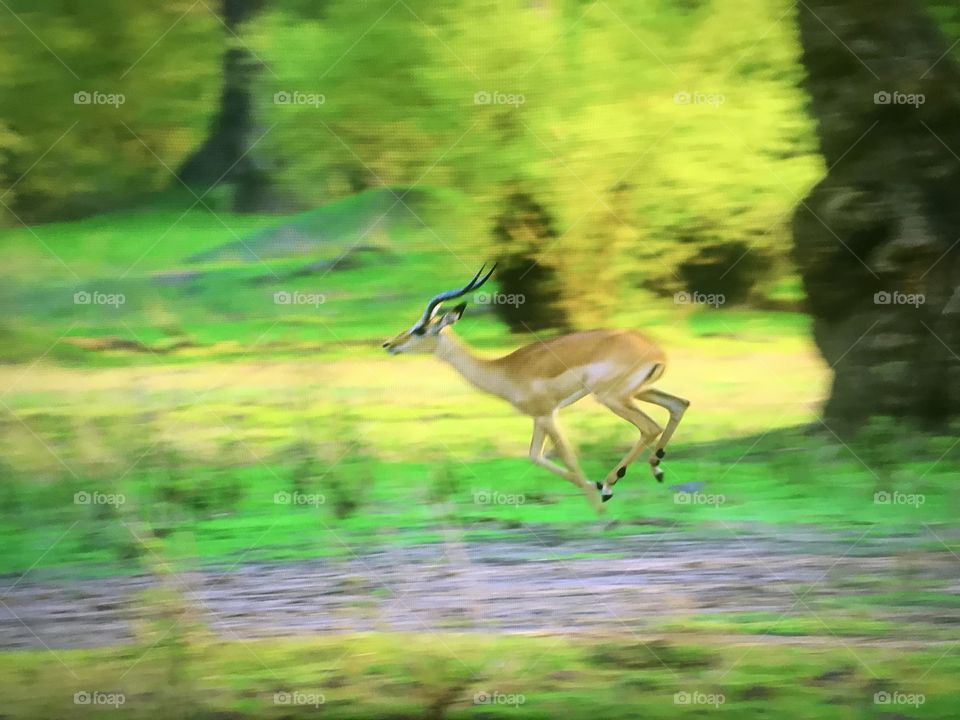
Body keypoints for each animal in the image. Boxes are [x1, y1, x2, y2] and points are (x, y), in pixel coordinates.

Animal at [382, 264, 690, 513]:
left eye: (420, 330)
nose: (389, 344)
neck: (504, 370)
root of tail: (654, 349)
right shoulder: (539, 418)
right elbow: (535, 456)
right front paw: (593, 487)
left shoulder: (546, 414)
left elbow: (566, 457)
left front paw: (601, 509)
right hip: (637, 393)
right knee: (679, 405)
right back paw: (652, 470)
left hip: (611, 398)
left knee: (650, 426)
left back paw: (609, 485)